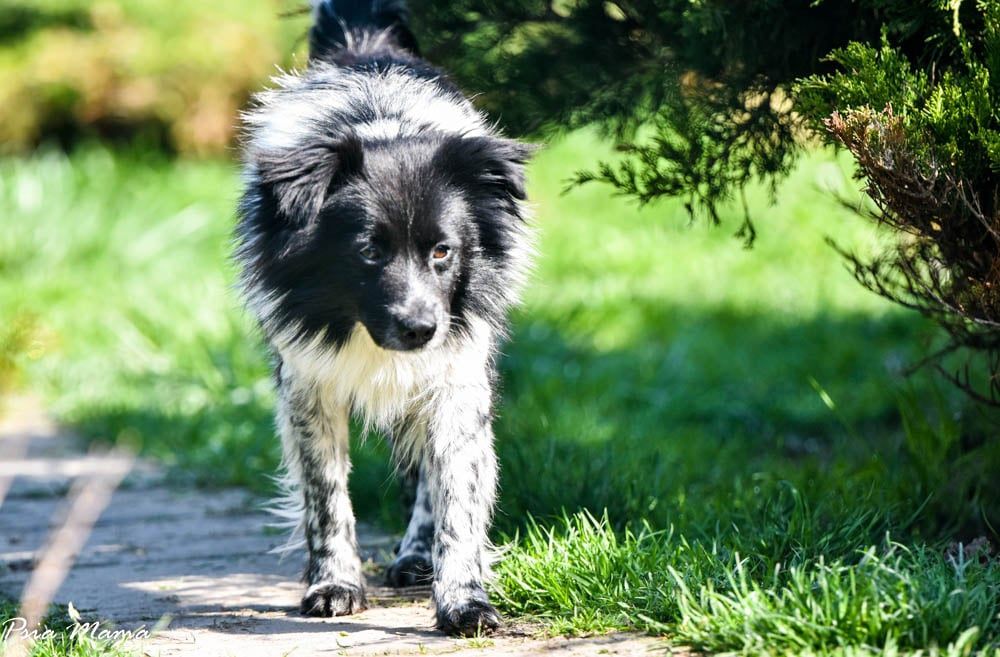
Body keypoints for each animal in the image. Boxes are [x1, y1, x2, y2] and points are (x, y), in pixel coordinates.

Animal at [234, 0, 536, 640]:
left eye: (443, 252)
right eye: (369, 251)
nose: (420, 330)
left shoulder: (457, 371)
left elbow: (456, 495)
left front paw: (463, 600)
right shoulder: (307, 382)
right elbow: (326, 496)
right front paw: (334, 584)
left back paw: (418, 559)